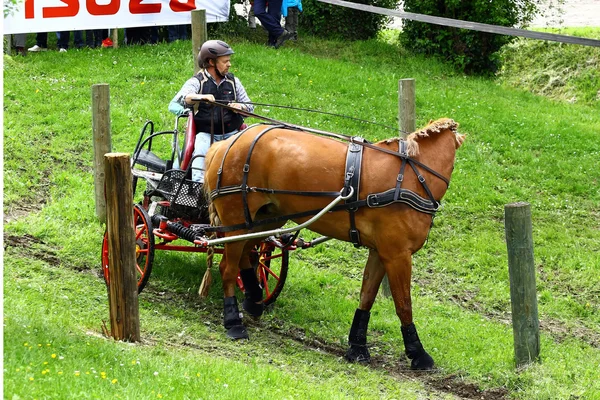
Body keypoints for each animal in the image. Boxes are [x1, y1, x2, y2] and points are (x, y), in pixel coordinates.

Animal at [203, 117, 464, 370]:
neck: (411, 177)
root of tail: (226, 144)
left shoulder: (380, 252)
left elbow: (367, 296)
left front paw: (357, 346)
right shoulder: (397, 254)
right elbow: (403, 304)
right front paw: (418, 353)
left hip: (263, 219)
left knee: (247, 256)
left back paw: (254, 298)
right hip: (237, 220)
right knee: (228, 267)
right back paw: (233, 321)